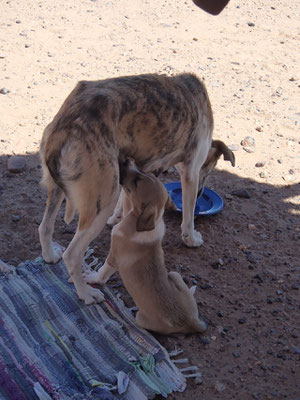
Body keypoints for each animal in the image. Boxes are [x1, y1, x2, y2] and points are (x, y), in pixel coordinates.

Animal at [38, 72, 234, 304]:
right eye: (210, 168)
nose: (202, 193)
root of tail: (66, 124)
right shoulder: (191, 173)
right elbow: (188, 216)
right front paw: (191, 239)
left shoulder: (135, 169)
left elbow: (126, 199)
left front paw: (117, 218)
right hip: (102, 201)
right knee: (72, 254)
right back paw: (86, 293)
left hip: (59, 189)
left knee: (44, 227)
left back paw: (50, 256)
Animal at [84, 159, 206, 334]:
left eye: (136, 182)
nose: (128, 160)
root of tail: (190, 321)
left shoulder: (113, 257)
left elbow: (103, 272)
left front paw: (92, 277)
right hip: (175, 274)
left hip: (140, 318)